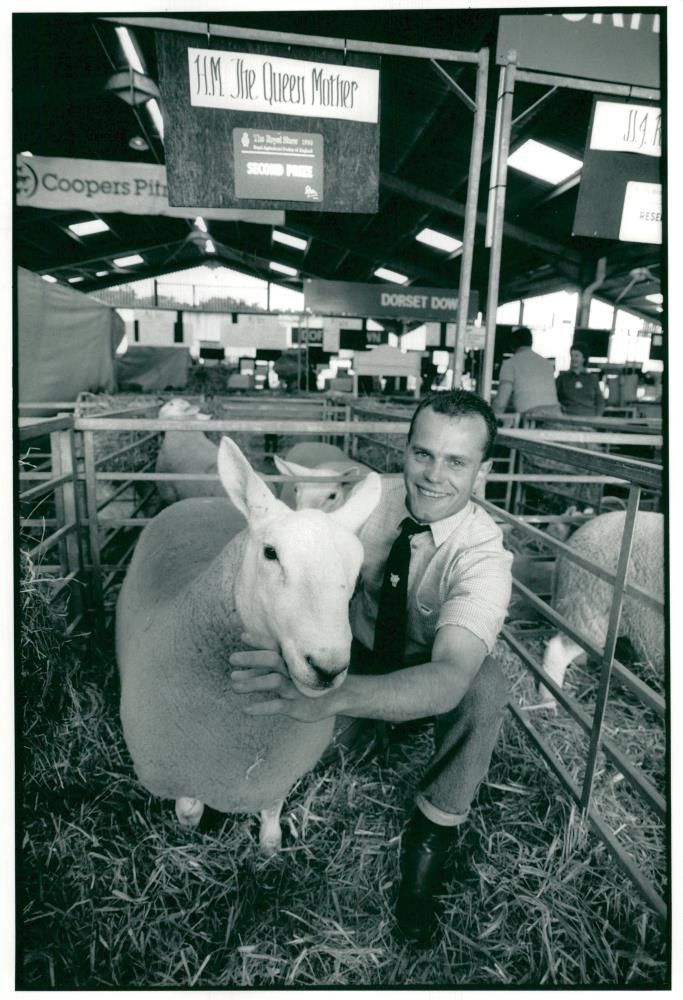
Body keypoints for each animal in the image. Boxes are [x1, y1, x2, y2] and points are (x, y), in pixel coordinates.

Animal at [118, 436, 384, 852]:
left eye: (357, 575)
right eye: (270, 553)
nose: (327, 667)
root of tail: (203, 500)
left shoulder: (275, 771)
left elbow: (272, 810)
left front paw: (270, 846)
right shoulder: (180, 770)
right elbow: (189, 811)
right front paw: (189, 834)